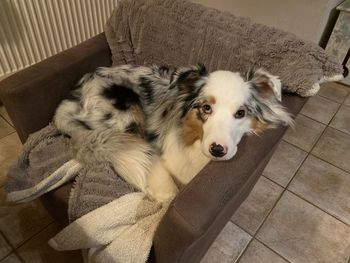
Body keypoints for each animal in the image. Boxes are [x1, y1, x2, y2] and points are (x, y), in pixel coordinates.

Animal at [54, 64, 292, 202]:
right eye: (206, 108)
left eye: (241, 113)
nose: (217, 149)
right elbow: (160, 176)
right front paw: (161, 192)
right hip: (126, 112)